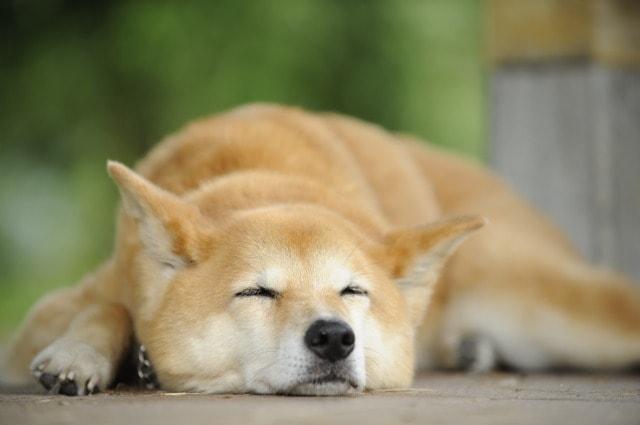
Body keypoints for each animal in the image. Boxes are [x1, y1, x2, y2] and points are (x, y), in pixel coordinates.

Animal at [1, 104, 640, 396]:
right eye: (257, 291)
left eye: (352, 290)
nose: (334, 336)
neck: (266, 176)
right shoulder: (46, 319)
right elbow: (109, 306)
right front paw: (78, 355)